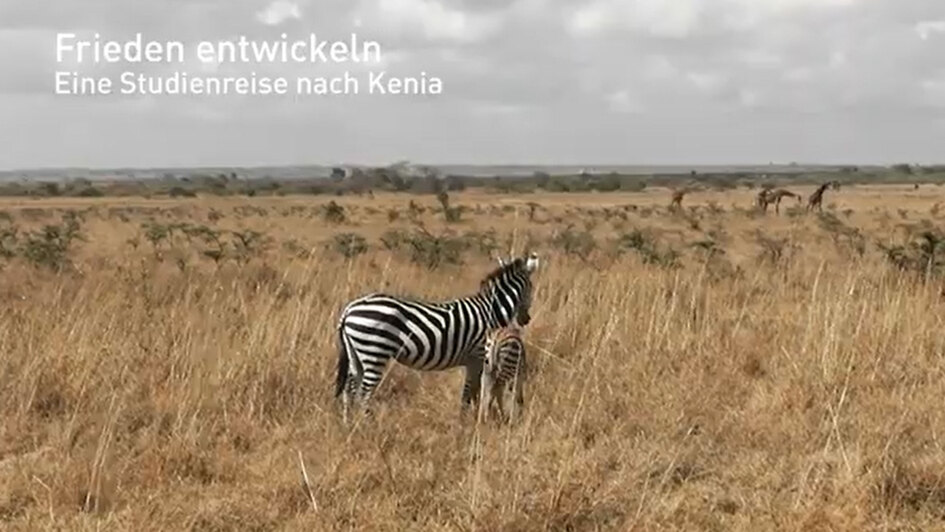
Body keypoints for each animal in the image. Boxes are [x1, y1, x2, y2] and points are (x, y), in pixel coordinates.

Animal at [334, 251, 540, 422]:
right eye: (531, 287)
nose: (526, 319)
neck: (490, 309)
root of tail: (349, 309)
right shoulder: (479, 356)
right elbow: (471, 392)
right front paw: (465, 421)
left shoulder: (478, 360)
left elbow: (474, 392)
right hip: (374, 350)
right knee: (364, 393)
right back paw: (367, 424)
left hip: (357, 353)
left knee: (349, 390)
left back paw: (348, 424)